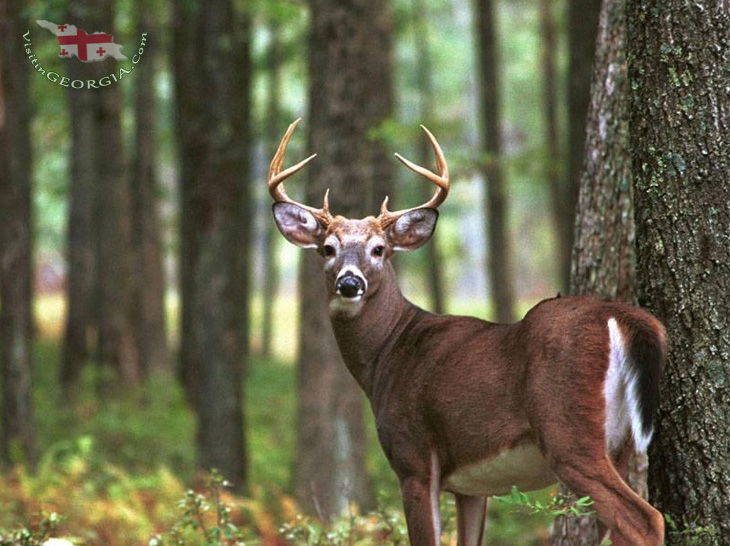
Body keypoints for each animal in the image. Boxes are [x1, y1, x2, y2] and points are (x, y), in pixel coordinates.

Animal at [268, 119, 664, 544]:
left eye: (378, 249)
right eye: (327, 248)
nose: (349, 283)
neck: (387, 354)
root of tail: (620, 316)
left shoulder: (413, 457)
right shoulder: (471, 487)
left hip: (569, 431)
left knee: (643, 519)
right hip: (620, 444)